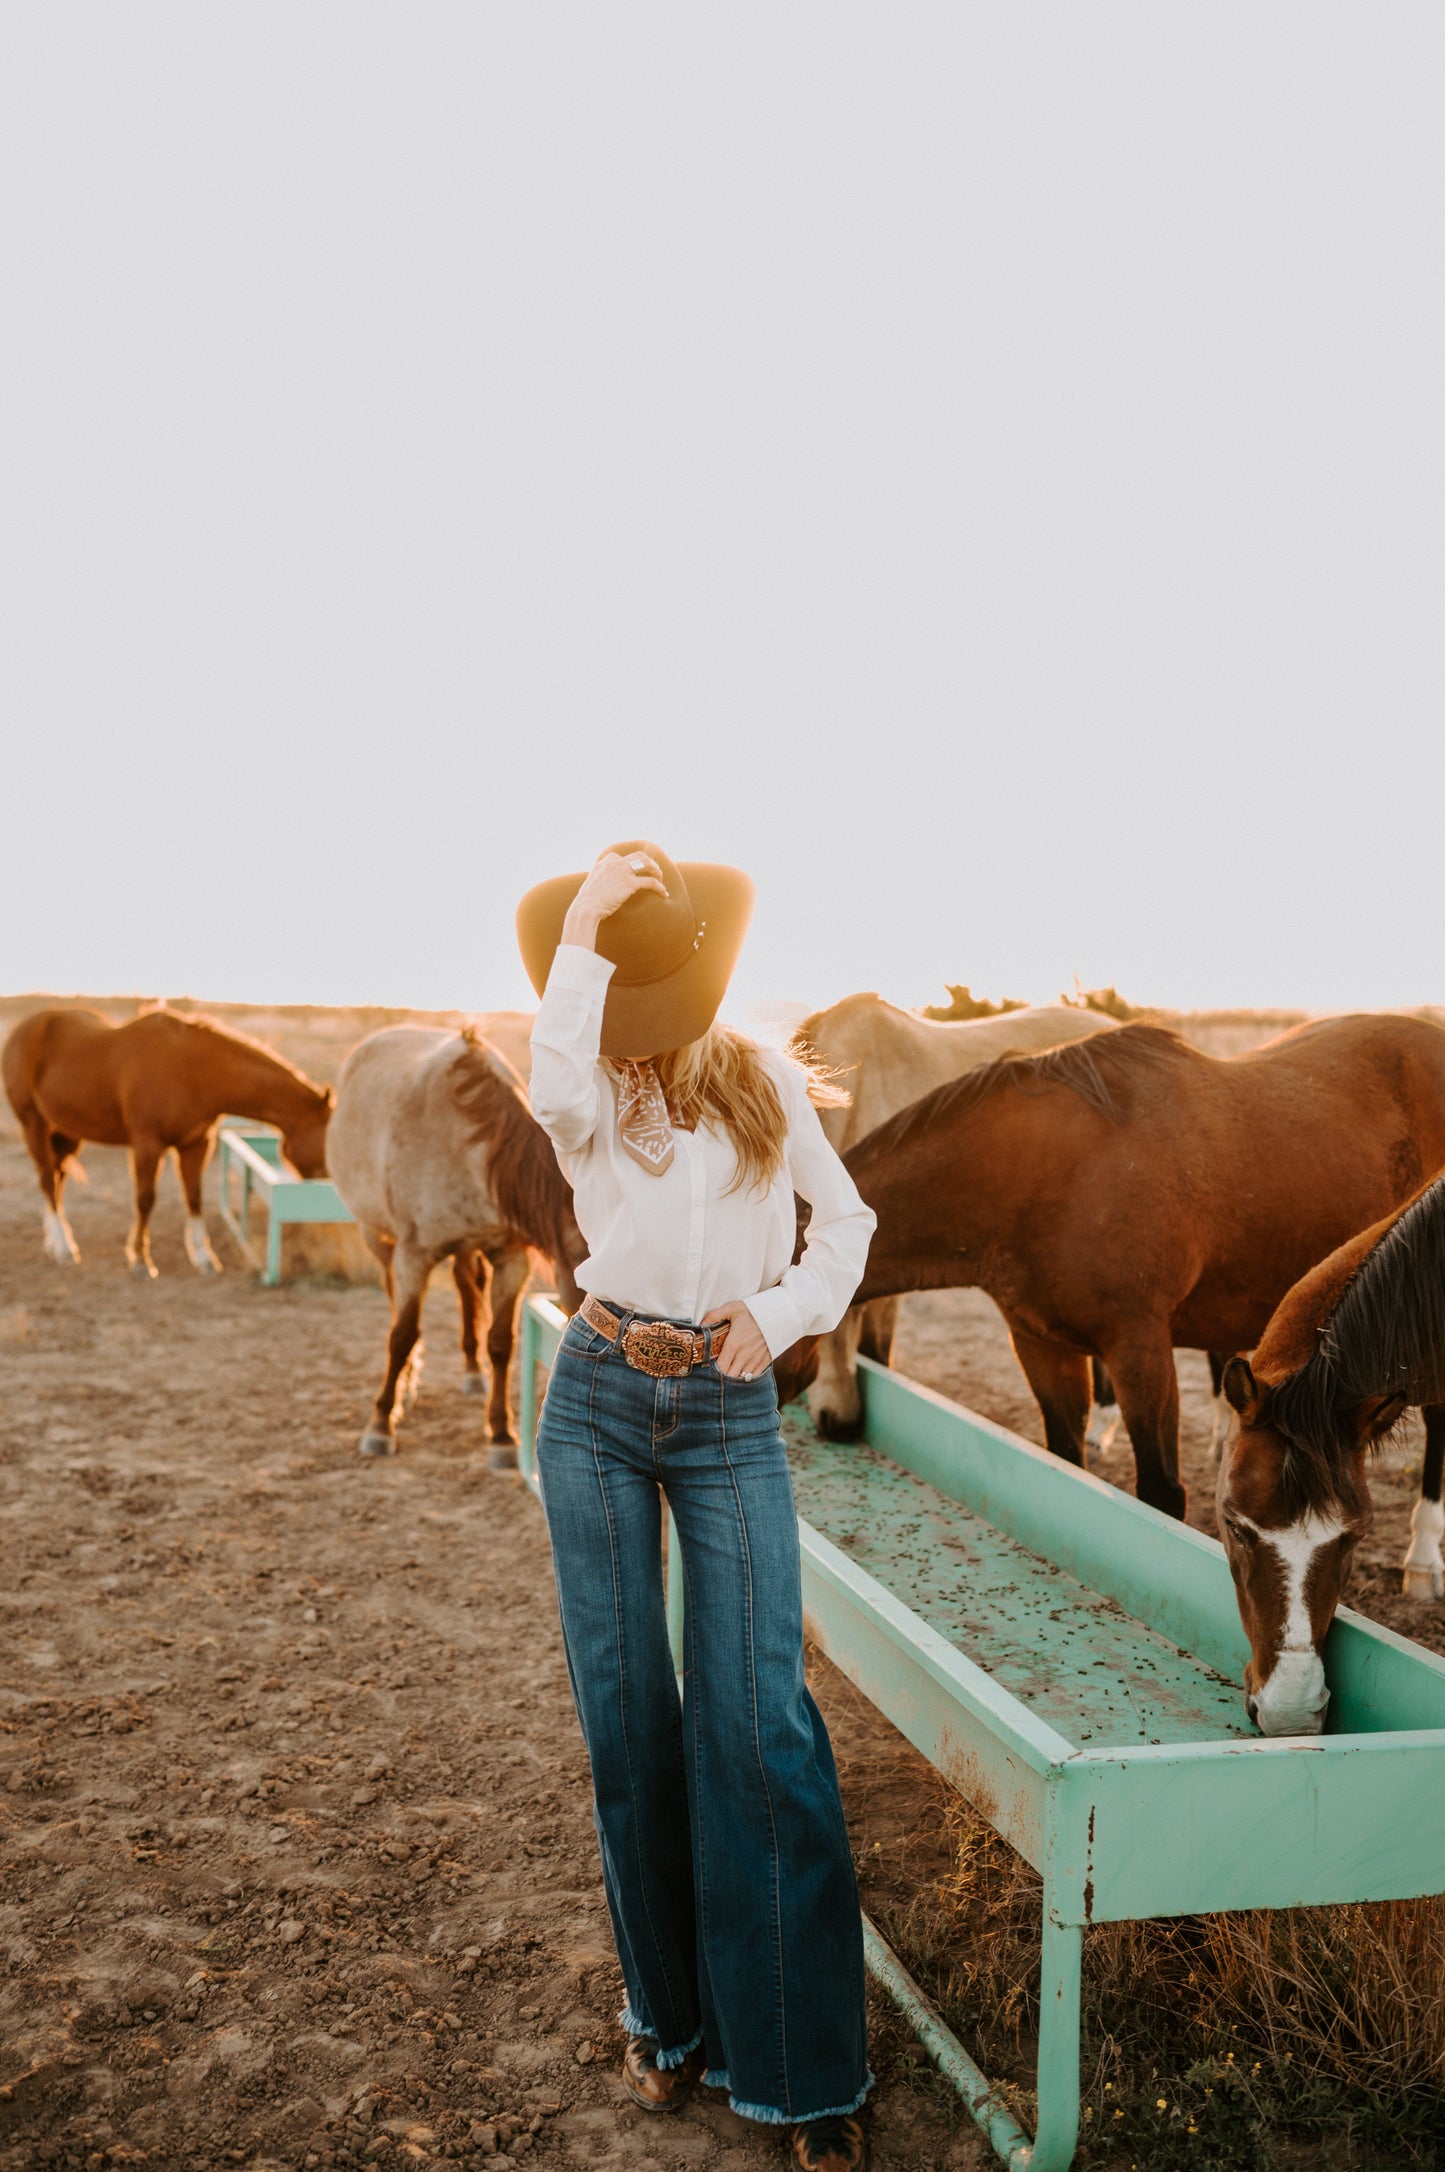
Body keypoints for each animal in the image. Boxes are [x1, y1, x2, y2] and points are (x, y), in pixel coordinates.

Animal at [2, 1007, 332, 1277]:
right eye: (329, 1147)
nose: (328, 1195)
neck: (193, 1070)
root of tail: (23, 1029)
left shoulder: (196, 1144)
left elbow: (194, 1196)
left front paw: (204, 1258)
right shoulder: (147, 1143)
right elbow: (145, 1199)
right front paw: (140, 1260)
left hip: (68, 1131)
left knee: (56, 1179)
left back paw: (55, 1241)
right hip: (33, 1123)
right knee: (48, 1180)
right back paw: (63, 1248)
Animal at [325, 1025, 582, 1468]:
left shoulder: (511, 1259)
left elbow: (500, 1342)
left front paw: (501, 1434)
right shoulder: (413, 1257)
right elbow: (401, 1335)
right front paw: (381, 1423)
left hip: (465, 1248)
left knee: (467, 1286)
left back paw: (472, 1372)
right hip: (377, 1237)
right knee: (396, 1300)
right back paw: (408, 1382)